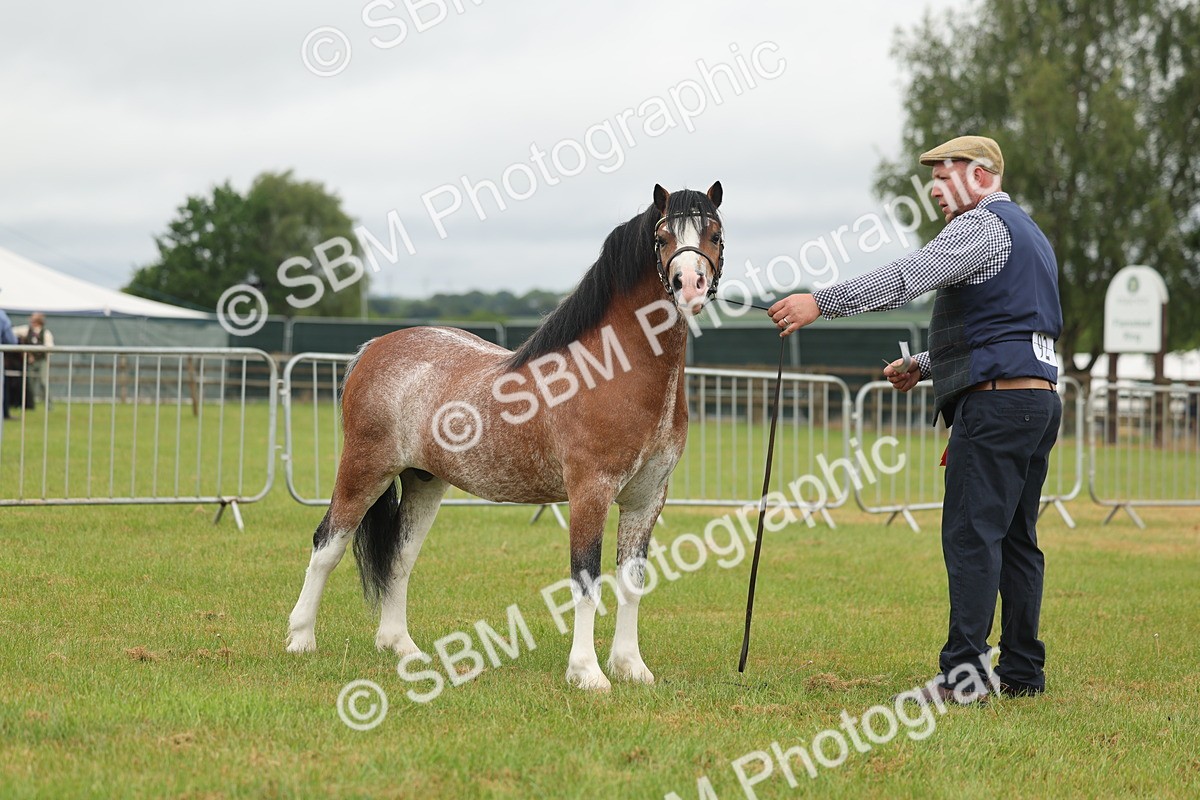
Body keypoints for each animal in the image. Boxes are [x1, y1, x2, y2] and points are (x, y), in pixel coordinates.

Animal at [285, 182, 725, 691]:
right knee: (327, 544)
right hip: (364, 468)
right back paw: (300, 639)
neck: (614, 370)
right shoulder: (590, 492)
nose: (689, 285)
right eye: (661, 237)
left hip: (423, 481)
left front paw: (631, 667)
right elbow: (586, 579)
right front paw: (587, 673)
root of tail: (373, 348)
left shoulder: (647, 497)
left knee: (399, 557)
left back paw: (404, 649)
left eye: (714, 234)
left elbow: (632, 581)